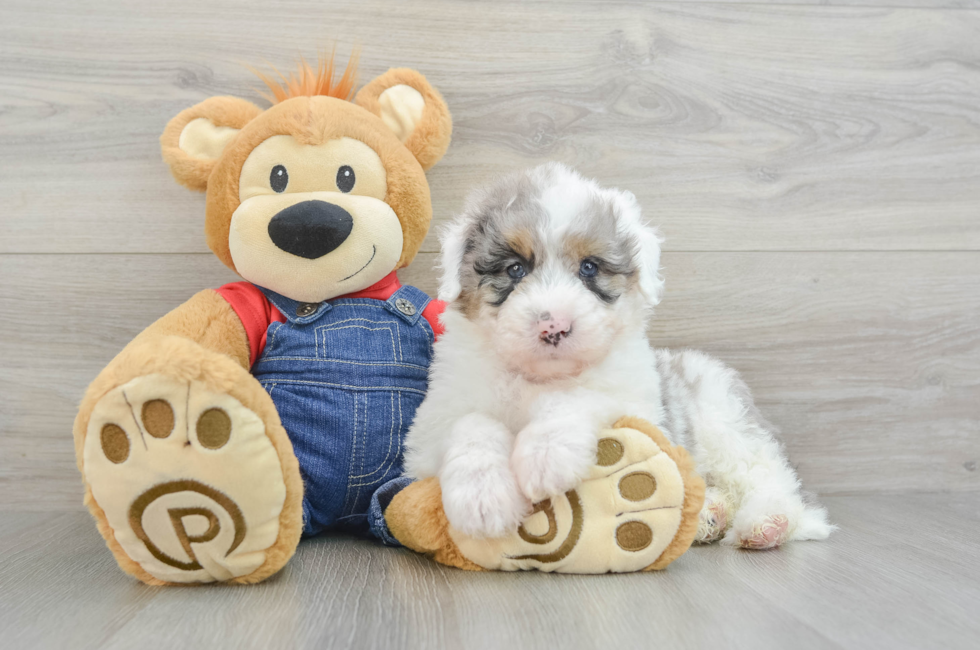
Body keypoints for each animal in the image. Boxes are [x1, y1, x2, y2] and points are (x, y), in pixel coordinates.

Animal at [406, 162, 836, 548]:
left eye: (589, 268)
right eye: (514, 269)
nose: (554, 326)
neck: (540, 377)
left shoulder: (635, 405)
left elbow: (576, 397)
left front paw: (545, 456)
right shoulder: (429, 430)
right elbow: (471, 425)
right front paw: (482, 499)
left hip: (727, 423)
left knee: (771, 479)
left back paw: (767, 522)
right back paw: (708, 516)